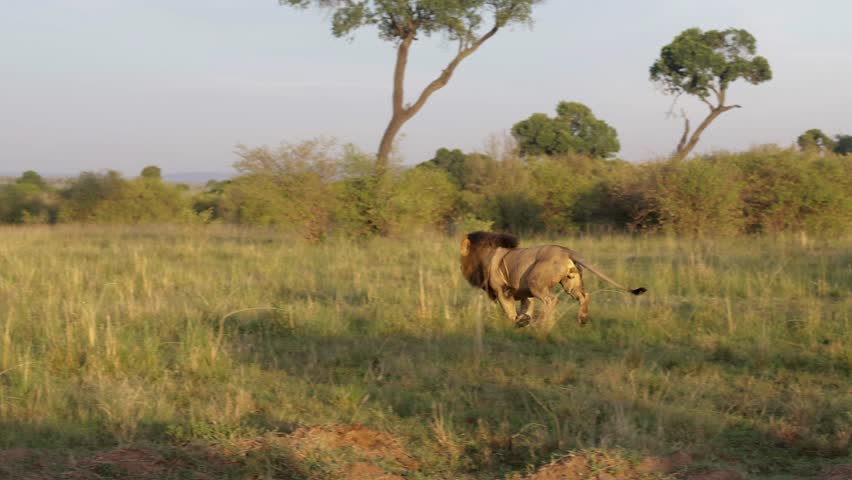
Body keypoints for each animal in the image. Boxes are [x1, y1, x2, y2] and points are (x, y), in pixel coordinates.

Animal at [460, 231, 646, 327]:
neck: (485, 256)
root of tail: (566, 251)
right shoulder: (523, 292)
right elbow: (526, 307)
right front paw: (524, 320)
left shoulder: (502, 290)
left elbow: (509, 310)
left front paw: (517, 322)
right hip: (571, 282)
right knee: (584, 296)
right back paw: (582, 319)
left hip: (535, 282)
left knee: (551, 300)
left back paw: (541, 323)